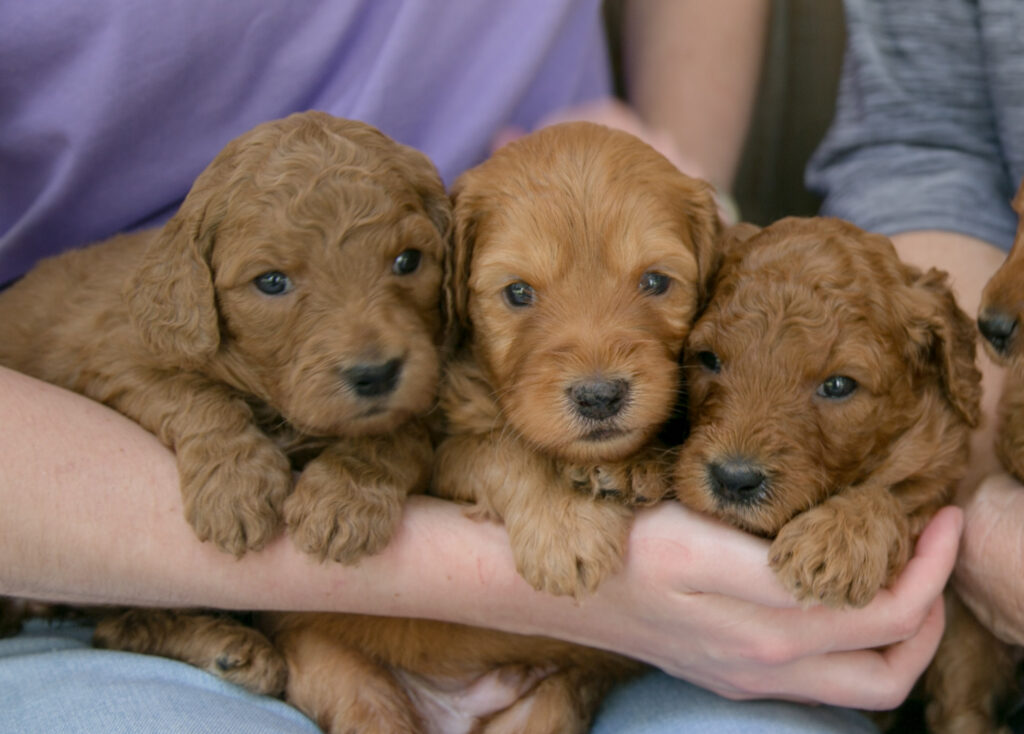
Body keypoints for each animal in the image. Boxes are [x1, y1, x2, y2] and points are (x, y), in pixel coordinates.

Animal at [0, 109, 452, 687]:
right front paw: (235, 487)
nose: (375, 374)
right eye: (272, 281)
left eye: (408, 260)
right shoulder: (115, 357)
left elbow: (401, 430)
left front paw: (346, 497)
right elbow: (192, 392)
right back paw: (229, 645)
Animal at [253, 123, 720, 732]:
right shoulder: (443, 455)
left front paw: (634, 464)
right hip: (338, 671)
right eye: (518, 292)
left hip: (550, 702)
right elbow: (507, 450)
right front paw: (566, 524)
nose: (599, 397)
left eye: (656, 282)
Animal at [671, 218, 1015, 732]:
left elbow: (894, 496)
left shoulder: (935, 472)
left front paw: (836, 540)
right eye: (708, 359)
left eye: (837, 385)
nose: (733, 478)